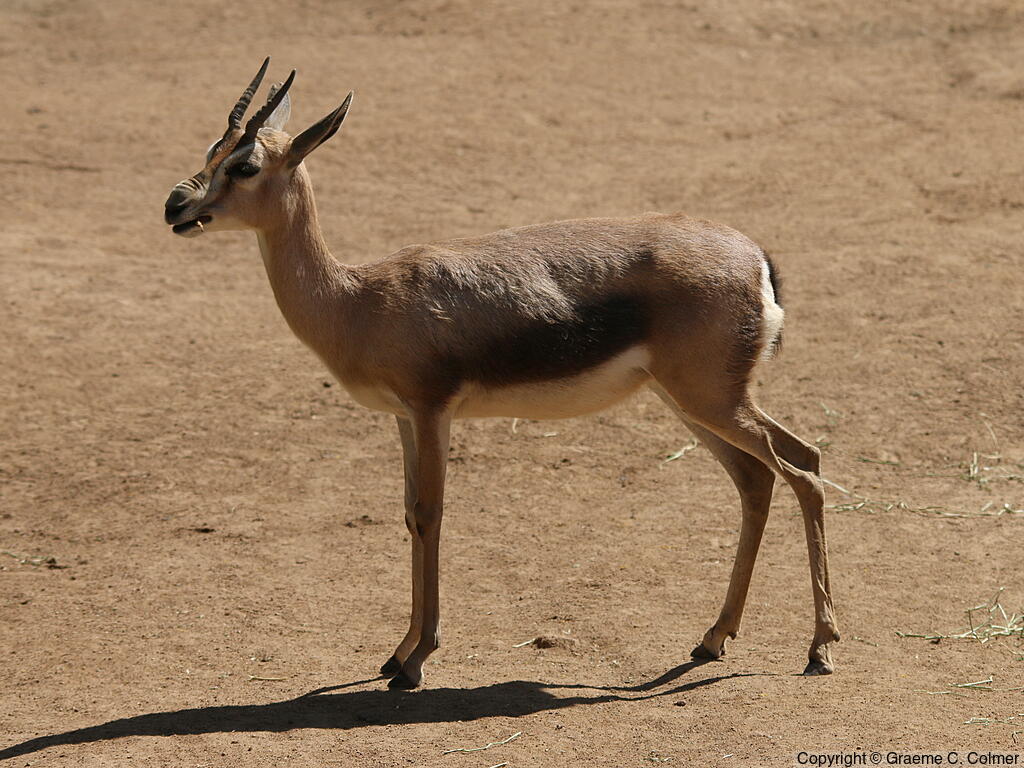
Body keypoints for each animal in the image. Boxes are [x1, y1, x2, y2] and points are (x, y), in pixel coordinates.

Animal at [164, 59, 839, 689]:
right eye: (212, 151)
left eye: (245, 164)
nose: (176, 205)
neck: (358, 300)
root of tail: (755, 258)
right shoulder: (404, 420)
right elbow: (408, 514)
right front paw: (396, 654)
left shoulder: (432, 412)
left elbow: (431, 514)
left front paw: (417, 663)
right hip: (692, 403)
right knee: (765, 476)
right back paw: (712, 638)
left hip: (711, 401)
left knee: (803, 473)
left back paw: (820, 648)